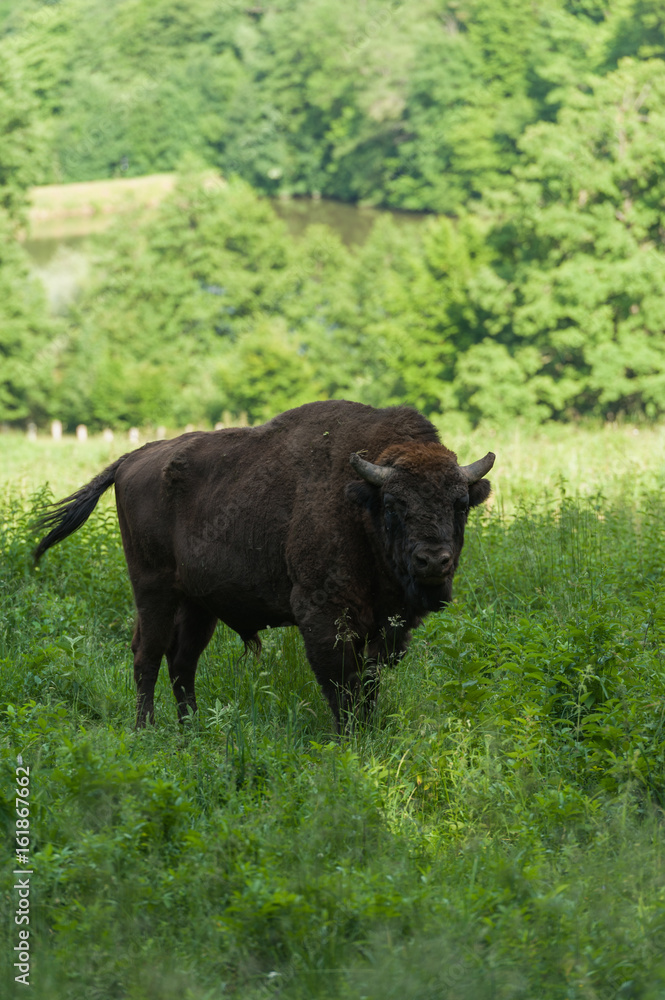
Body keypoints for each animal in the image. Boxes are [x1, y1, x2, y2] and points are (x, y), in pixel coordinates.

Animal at [35, 396, 492, 728]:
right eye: (395, 504)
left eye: (461, 503)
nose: (433, 561)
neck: (360, 502)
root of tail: (132, 458)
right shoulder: (323, 615)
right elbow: (340, 684)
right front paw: (350, 737)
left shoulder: (385, 626)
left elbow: (368, 684)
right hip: (152, 590)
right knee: (146, 655)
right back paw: (145, 730)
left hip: (197, 604)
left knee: (182, 662)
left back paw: (191, 731)